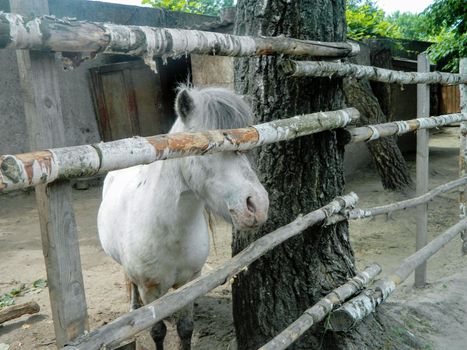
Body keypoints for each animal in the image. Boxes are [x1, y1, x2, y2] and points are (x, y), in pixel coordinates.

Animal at [97, 85, 268, 350]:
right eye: (210, 147)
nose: (257, 205)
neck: (169, 232)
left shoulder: (190, 282)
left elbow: (185, 328)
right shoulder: (150, 291)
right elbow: (158, 331)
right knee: (130, 284)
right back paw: (134, 308)